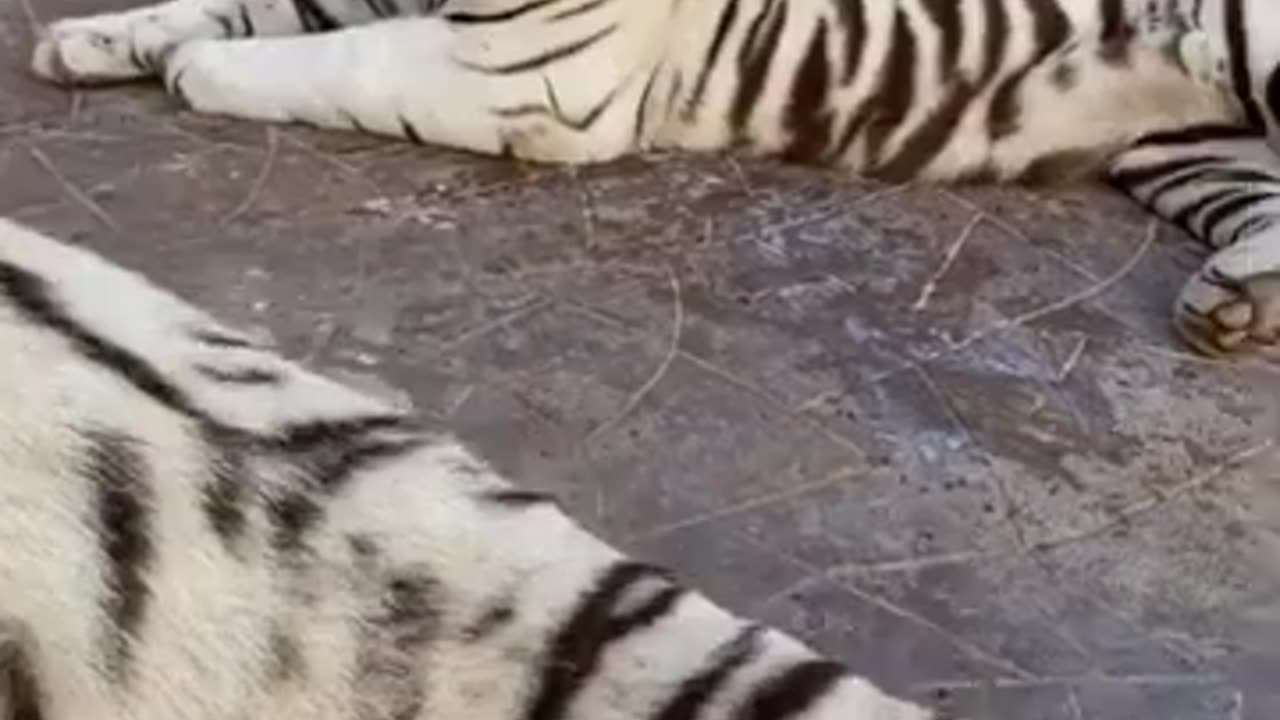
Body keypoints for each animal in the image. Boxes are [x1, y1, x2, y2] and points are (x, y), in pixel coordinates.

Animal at [22, 0, 1280, 358]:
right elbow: (248, 1)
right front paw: (90, 40)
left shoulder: (519, 70)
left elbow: (331, 58)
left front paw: (195, 70)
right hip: (1186, 141)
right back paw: (1233, 306)